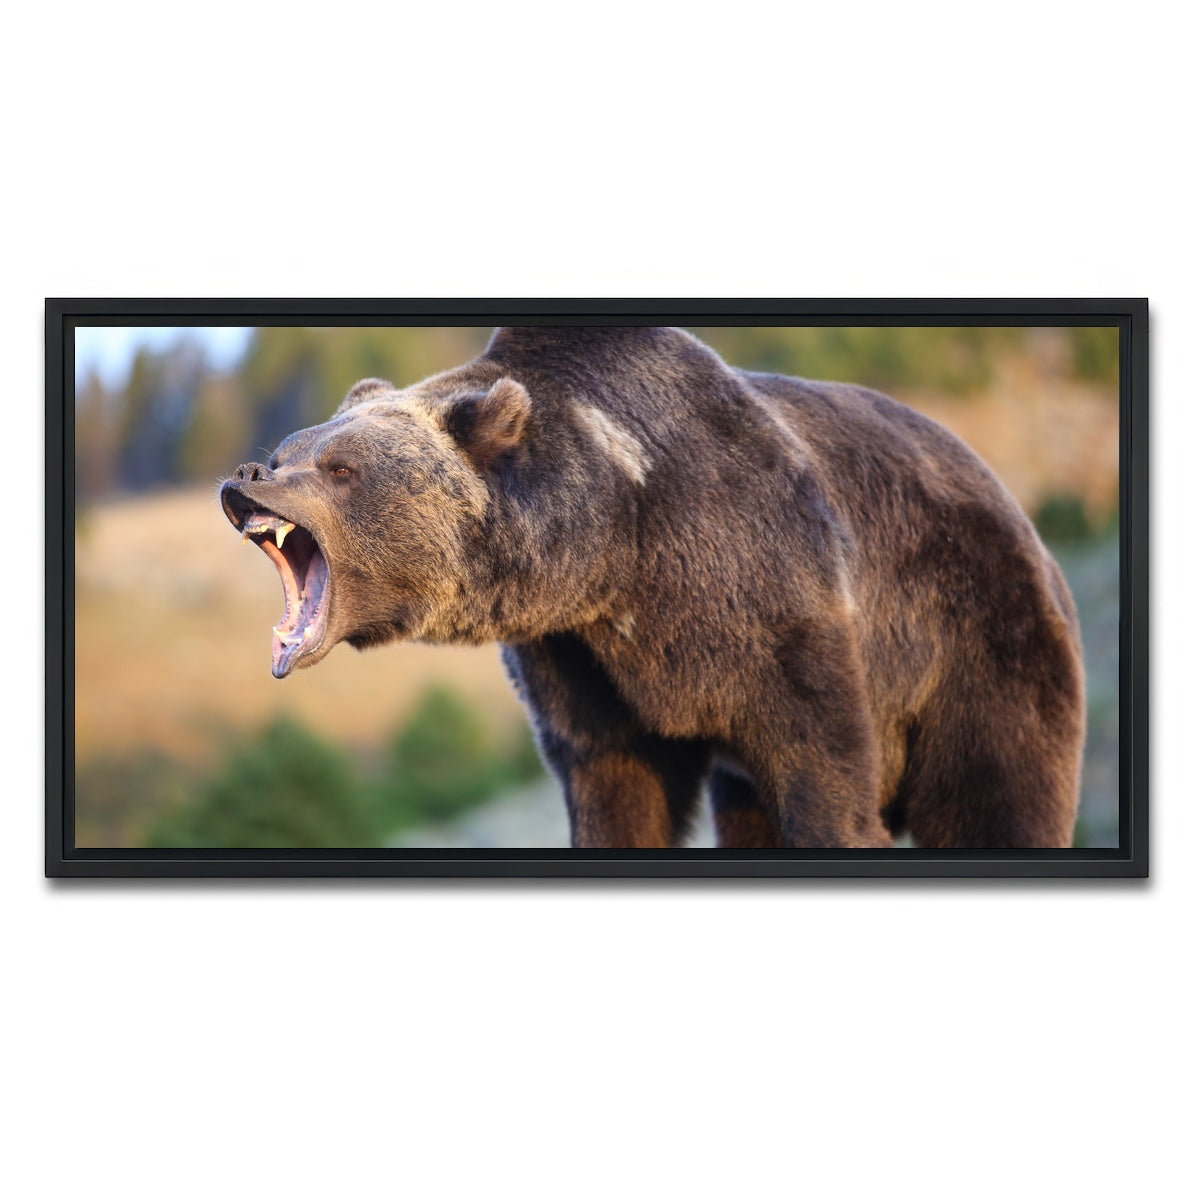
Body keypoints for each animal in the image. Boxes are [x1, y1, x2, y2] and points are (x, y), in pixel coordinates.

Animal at [220, 326, 1086, 849]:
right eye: (291, 448)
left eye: (340, 468)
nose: (248, 475)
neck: (615, 550)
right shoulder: (580, 663)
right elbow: (615, 785)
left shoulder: (777, 599)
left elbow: (825, 771)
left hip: (978, 641)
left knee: (998, 791)